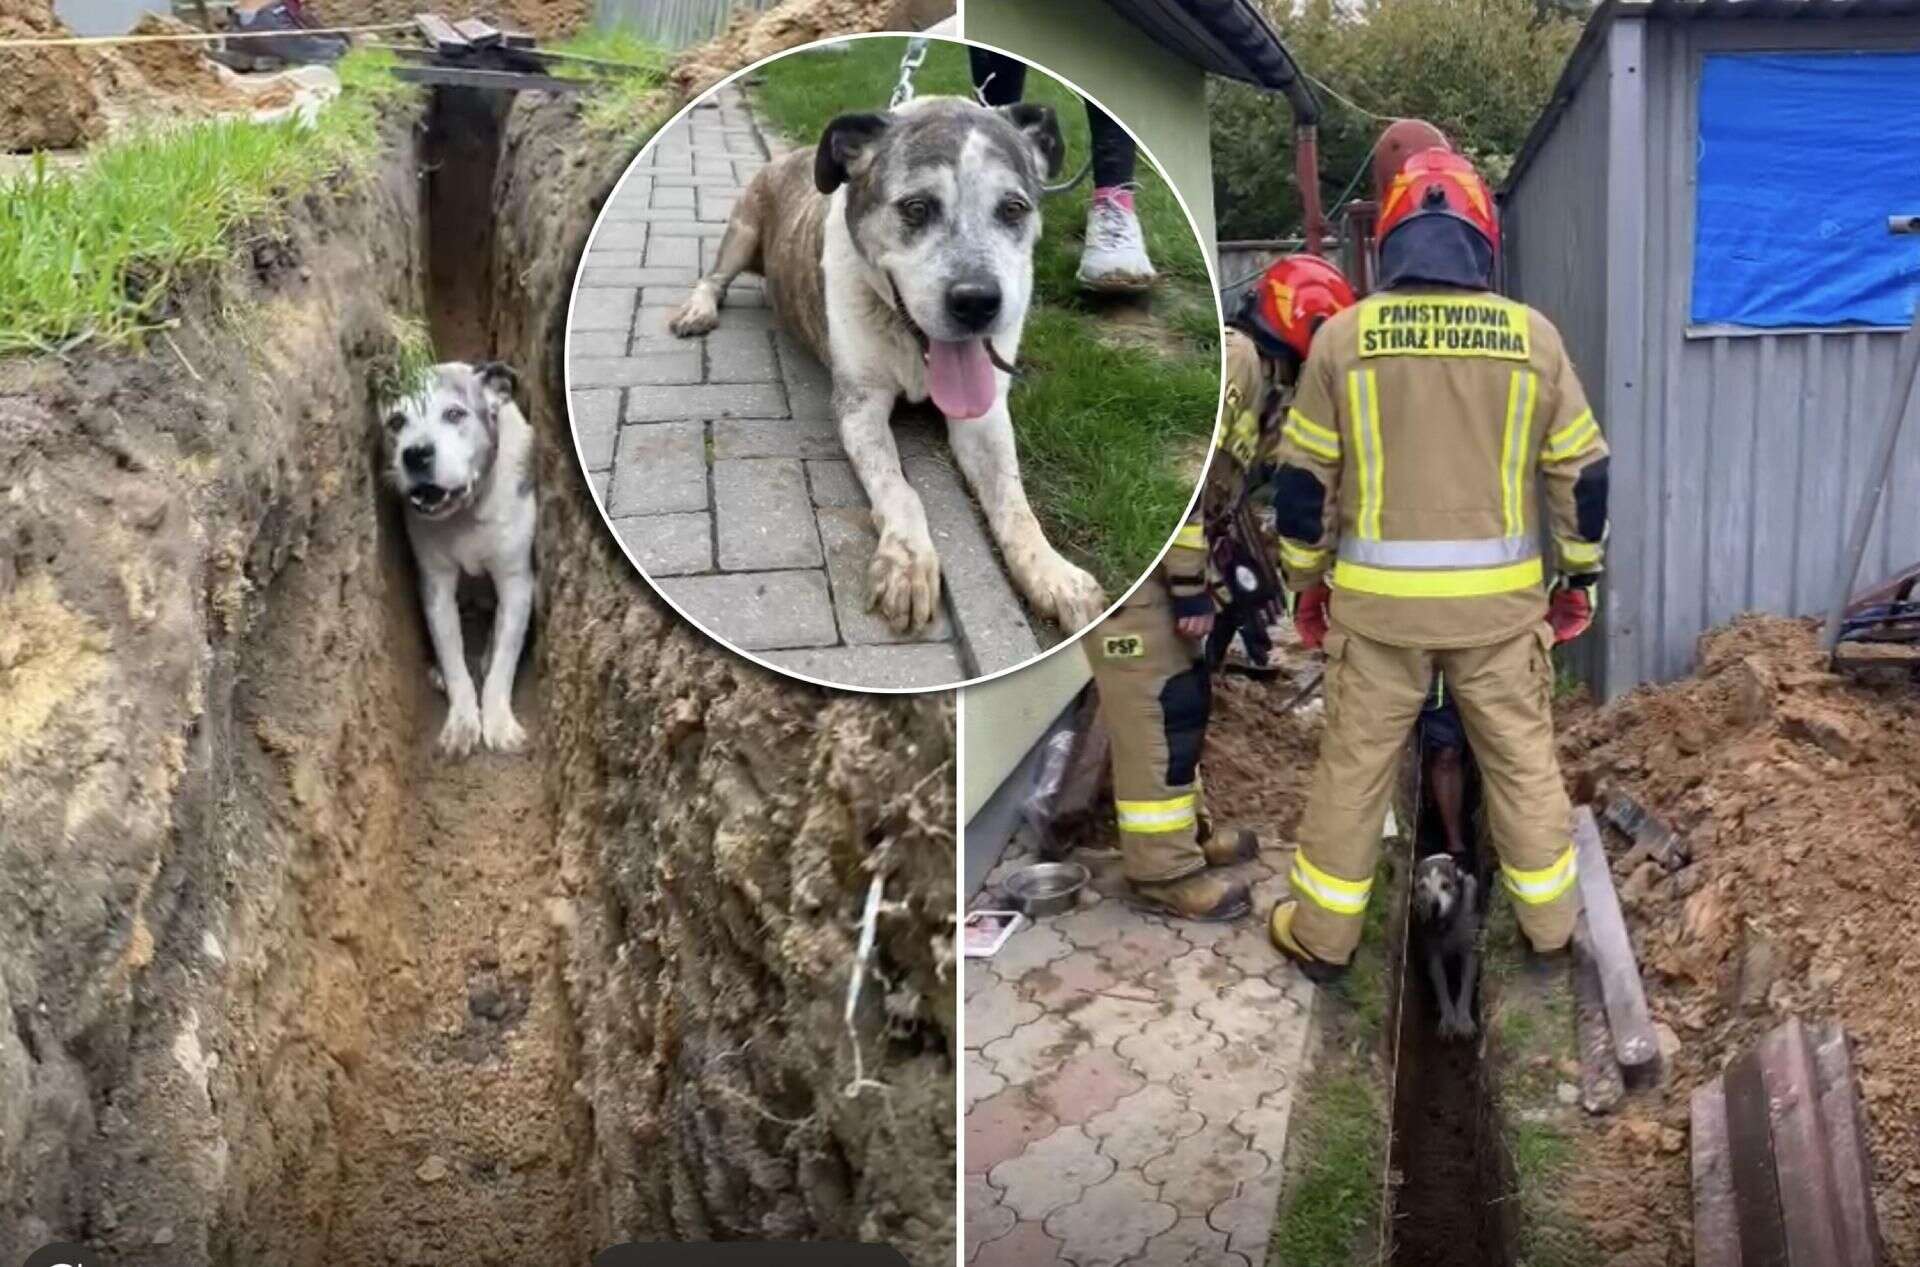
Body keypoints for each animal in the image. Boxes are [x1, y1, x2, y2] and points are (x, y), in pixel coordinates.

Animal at [380, 358, 537, 752]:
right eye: (396, 421)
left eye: (454, 414)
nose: (415, 453)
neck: (466, 513)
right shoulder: (436, 587)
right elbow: (453, 659)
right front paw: (463, 721)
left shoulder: (516, 582)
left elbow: (505, 660)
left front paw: (498, 721)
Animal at [668, 91, 1105, 633]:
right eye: (916, 207)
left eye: (1014, 207)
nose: (978, 302)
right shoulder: (860, 407)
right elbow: (898, 488)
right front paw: (908, 562)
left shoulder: (984, 417)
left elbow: (1014, 501)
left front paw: (1053, 573)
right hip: (743, 230)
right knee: (714, 276)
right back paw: (698, 310)